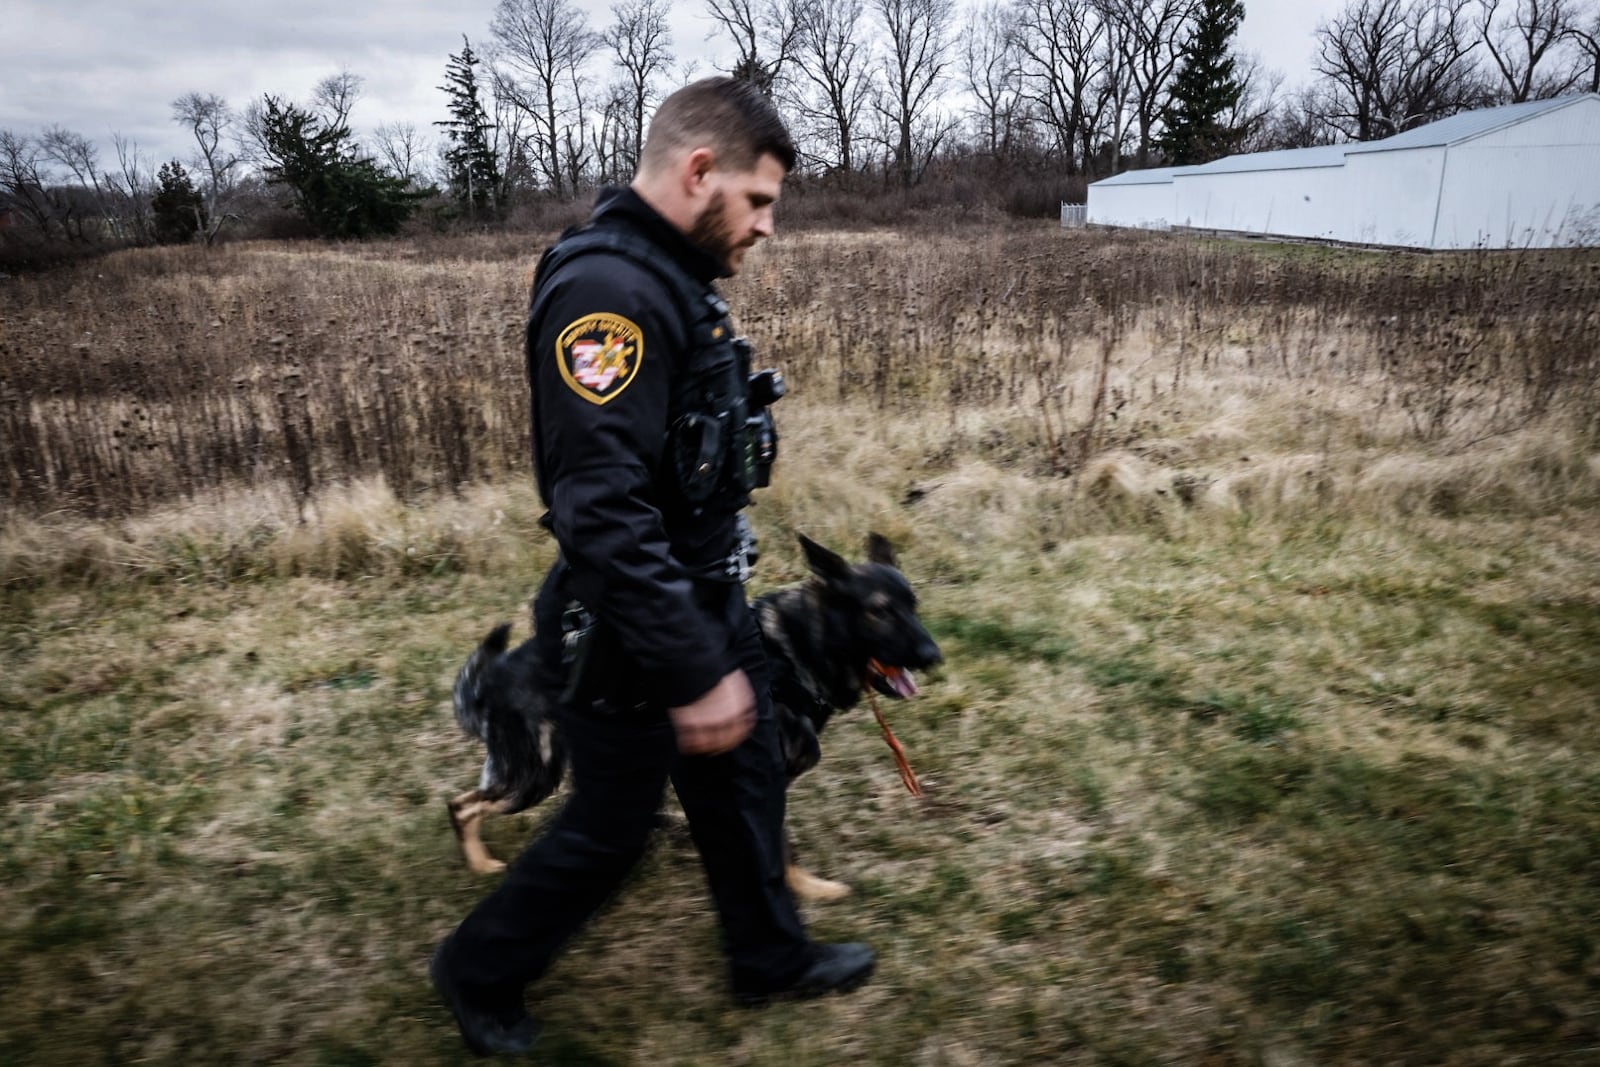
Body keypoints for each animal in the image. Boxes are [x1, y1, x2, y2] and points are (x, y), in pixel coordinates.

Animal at [444, 534, 940, 902]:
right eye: (879, 611)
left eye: (913, 605)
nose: (934, 656)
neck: (795, 651)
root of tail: (496, 672)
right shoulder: (767, 780)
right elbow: (783, 847)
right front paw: (808, 890)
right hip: (535, 775)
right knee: (461, 806)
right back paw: (480, 863)